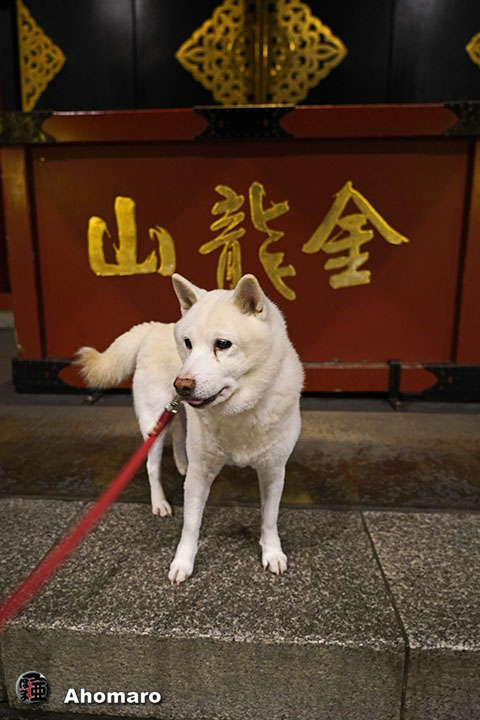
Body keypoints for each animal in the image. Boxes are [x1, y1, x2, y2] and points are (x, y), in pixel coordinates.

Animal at [77, 274, 303, 583]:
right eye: (187, 343)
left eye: (223, 344)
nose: (181, 385)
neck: (239, 412)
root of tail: (153, 328)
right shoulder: (201, 473)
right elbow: (191, 524)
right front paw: (183, 562)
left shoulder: (273, 470)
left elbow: (269, 518)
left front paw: (272, 553)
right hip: (153, 421)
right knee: (152, 465)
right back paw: (160, 502)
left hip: (178, 412)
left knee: (179, 432)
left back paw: (182, 463)